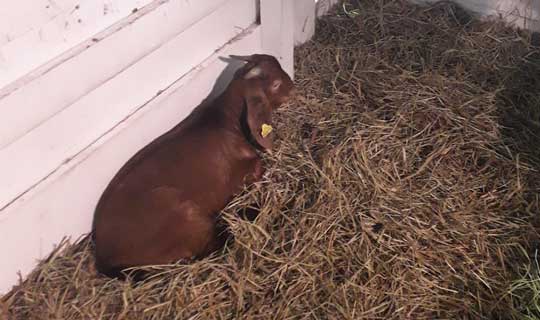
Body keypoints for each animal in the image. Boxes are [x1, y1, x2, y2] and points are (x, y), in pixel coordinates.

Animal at [93, 53, 296, 278]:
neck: (225, 119)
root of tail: (104, 258)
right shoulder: (235, 177)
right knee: (214, 246)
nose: (293, 88)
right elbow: (259, 164)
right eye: (276, 84)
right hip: (184, 216)